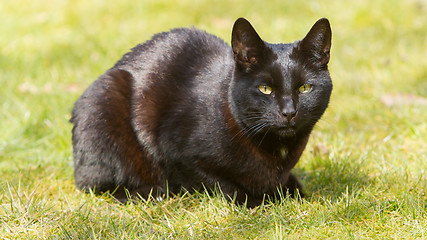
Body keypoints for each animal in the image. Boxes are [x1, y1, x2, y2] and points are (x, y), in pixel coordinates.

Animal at [70, 17, 332, 207]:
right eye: (265, 88)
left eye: (305, 88)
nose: (289, 112)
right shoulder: (179, 154)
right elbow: (223, 185)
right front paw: (255, 200)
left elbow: (291, 186)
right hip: (104, 101)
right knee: (100, 185)